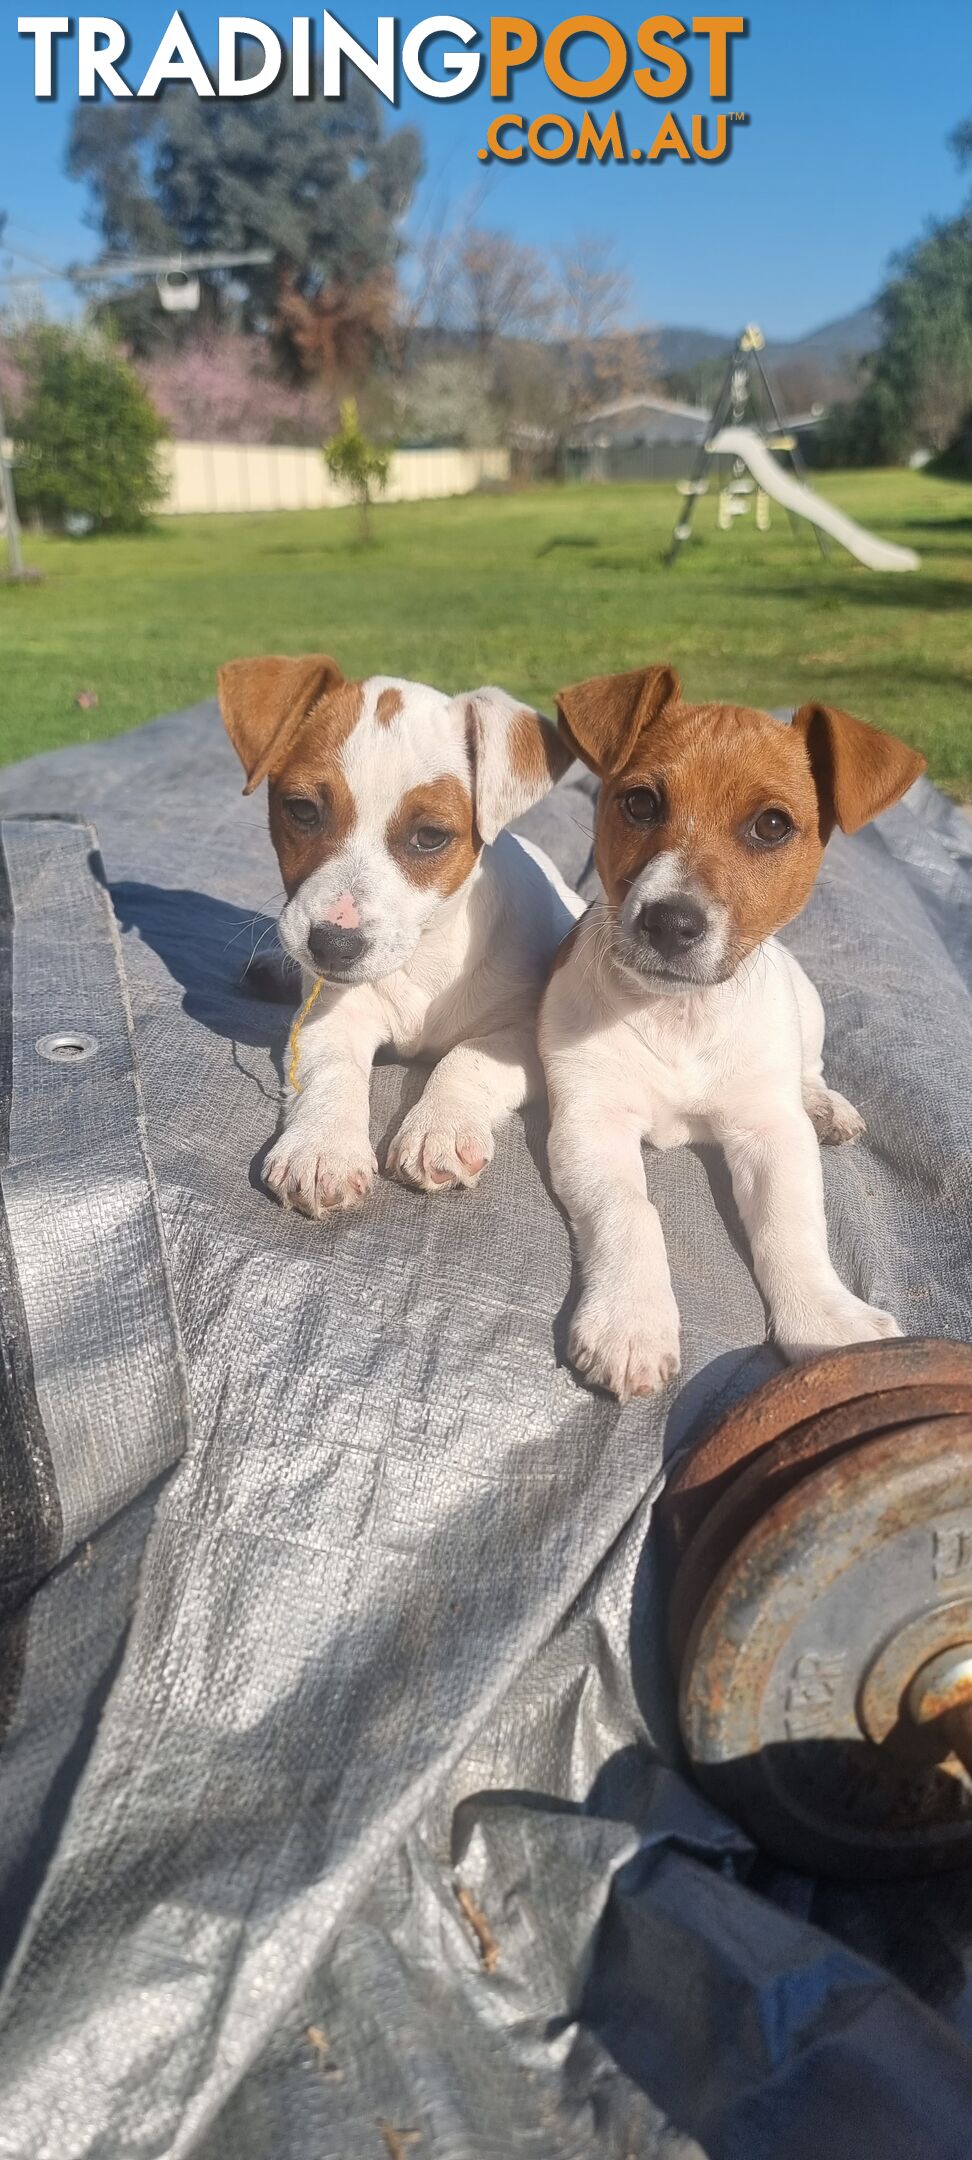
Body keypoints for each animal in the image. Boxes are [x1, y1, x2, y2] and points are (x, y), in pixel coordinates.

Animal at [221, 652, 578, 1218]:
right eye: (302, 810)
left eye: (430, 837)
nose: (332, 946)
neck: (423, 958)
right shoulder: (332, 1017)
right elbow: (333, 1072)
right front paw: (322, 1147)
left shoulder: (529, 1035)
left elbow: (466, 1058)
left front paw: (440, 1128)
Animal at [540, 665, 924, 1399]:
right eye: (640, 803)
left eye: (772, 825)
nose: (669, 922)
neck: (679, 1014)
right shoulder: (590, 1122)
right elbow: (629, 1211)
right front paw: (630, 1320)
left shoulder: (767, 1133)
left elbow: (791, 1227)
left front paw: (824, 1320)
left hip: (807, 1007)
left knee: (810, 1069)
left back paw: (828, 1107)